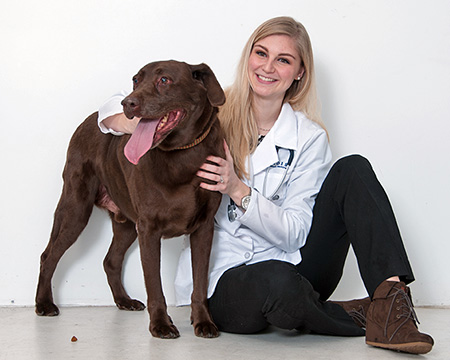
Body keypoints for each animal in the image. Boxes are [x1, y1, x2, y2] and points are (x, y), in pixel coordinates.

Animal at [34, 60, 225, 338]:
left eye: (165, 80)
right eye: (136, 80)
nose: (127, 103)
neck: (182, 154)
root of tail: (88, 120)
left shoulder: (204, 228)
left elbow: (200, 282)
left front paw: (203, 322)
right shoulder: (149, 229)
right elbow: (154, 284)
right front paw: (160, 325)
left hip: (125, 224)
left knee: (111, 261)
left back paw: (123, 301)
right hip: (76, 208)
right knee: (49, 256)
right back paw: (44, 303)